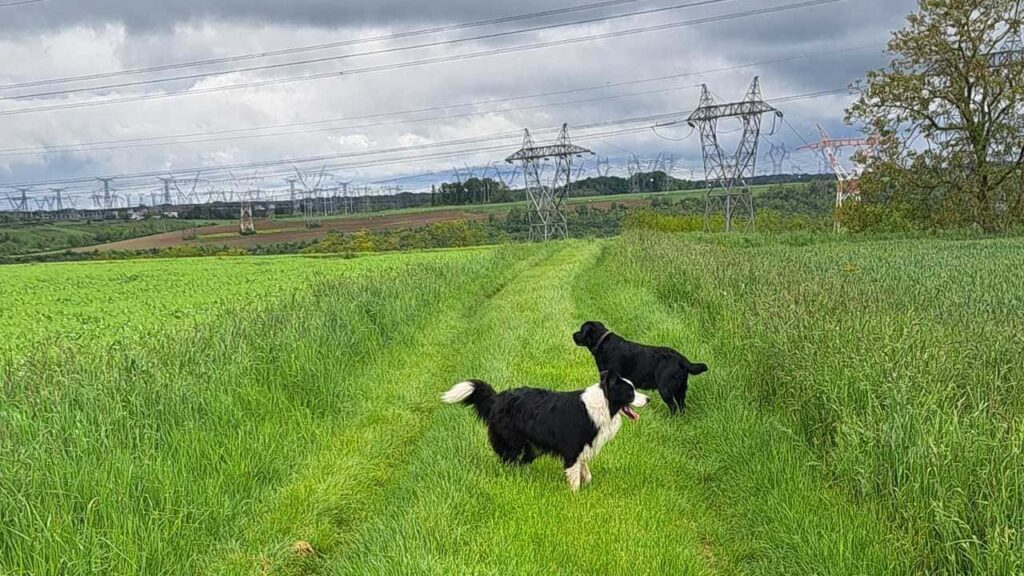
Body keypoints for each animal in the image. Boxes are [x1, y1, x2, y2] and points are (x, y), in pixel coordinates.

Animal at [440, 366, 647, 487]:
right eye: (630, 392)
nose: (649, 399)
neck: (604, 403)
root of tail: (497, 398)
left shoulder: (583, 447)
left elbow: (585, 471)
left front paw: (587, 484)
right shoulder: (572, 449)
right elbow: (574, 477)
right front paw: (575, 498)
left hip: (532, 448)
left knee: (520, 463)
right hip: (512, 443)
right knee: (508, 461)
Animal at [573, 317, 708, 412]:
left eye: (581, 330)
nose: (573, 335)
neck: (602, 343)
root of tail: (682, 359)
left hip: (665, 389)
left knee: (673, 407)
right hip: (680, 390)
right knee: (681, 406)